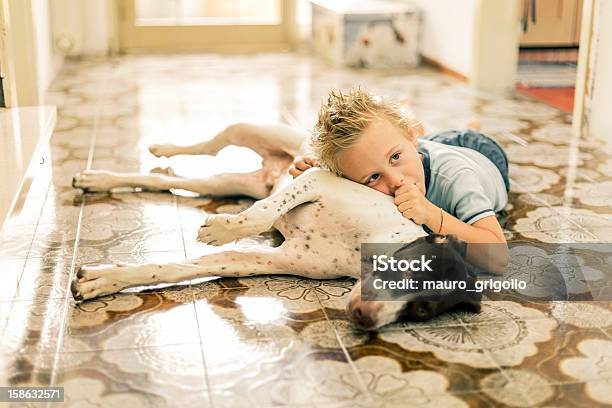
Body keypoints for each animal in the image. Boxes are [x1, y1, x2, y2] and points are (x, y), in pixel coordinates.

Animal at [71, 121, 480, 328]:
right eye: (411, 270)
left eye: (420, 310)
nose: (367, 319)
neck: (365, 247)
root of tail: (269, 168)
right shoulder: (317, 179)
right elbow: (261, 214)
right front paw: (221, 229)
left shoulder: (265, 260)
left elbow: (175, 268)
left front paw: (103, 280)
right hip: (248, 132)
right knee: (209, 145)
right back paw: (164, 148)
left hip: (224, 183)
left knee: (165, 181)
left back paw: (98, 178)